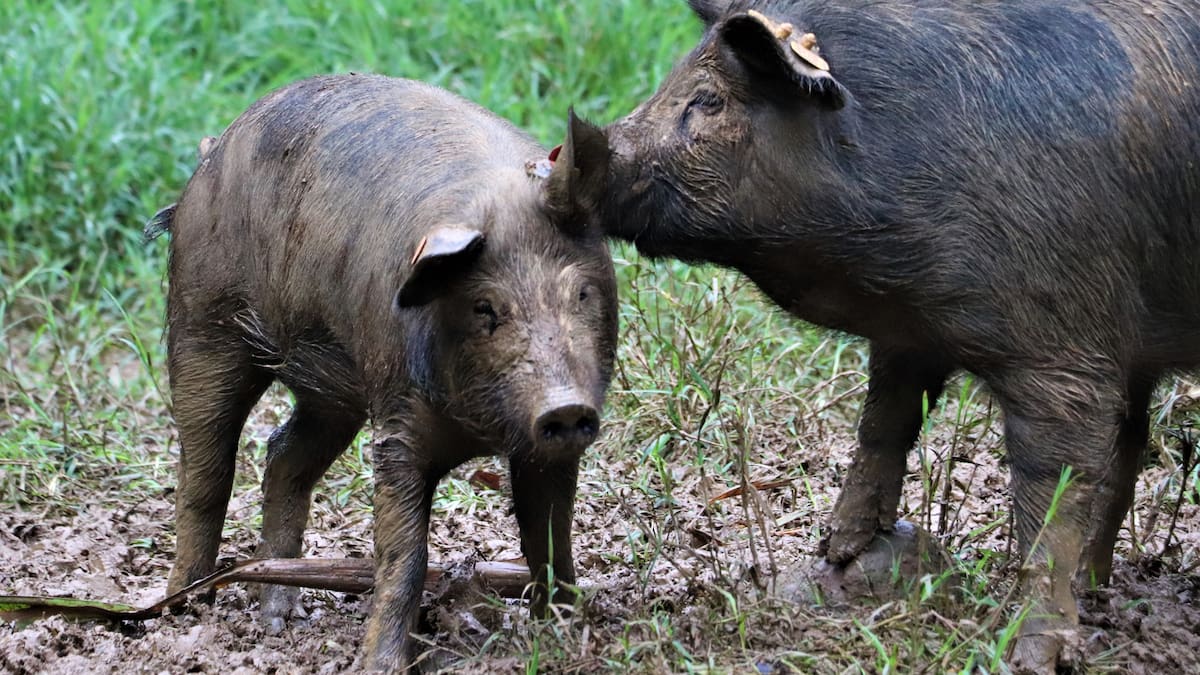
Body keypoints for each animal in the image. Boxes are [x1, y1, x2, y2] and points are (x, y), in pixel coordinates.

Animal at [151, 73, 618, 670]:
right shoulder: (396, 416)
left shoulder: (547, 447)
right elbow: (404, 553)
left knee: (284, 455)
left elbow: (551, 532)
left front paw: (566, 633)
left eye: (581, 293)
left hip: (332, 391)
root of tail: (210, 153)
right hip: (201, 321)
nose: (564, 405)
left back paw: (276, 618)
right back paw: (181, 607)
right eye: (485, 307)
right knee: (205, 469)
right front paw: (380, 665)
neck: (481, 429)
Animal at [563, 0, 1200, 670]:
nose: (561, 154)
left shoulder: (1062, 344)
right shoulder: (910, 334)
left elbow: (1048, 498)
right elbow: (883, 426)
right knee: (1132, 443)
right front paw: (836, 557)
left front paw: (1028, 655)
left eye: (707, 99)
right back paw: (1096, 586)